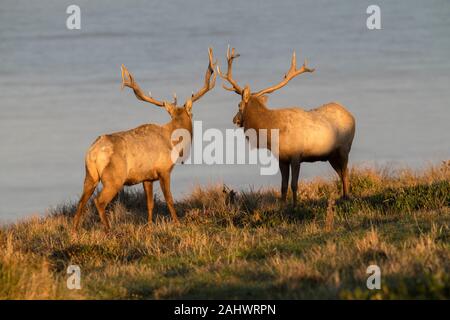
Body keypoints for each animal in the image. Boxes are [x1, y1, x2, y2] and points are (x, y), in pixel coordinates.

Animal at [73, 47, 217, 230]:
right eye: (192, 114)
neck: (174, 142)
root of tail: (93, 152)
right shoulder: (164, 170)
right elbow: (169, 200)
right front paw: (177, 223)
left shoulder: (147, 177)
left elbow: (149, 203)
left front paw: (149, 225)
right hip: (113, 178)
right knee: (99, 201)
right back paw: (108, 230)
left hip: (89, 175)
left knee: (81, 201)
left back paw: (74, 230)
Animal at [217, 48, 356, 208]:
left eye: (239, 105)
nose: (235, 119)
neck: (272, 132)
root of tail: (351, 115)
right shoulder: (281, 158)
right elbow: (283, 186)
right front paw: (283, 205)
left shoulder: (296, 156)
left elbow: (294, 185)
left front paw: (295, 205)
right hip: (330, 155)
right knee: (341, 173)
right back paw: (343, 197)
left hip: (344, 148)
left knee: (345, 173)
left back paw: (347, 197)